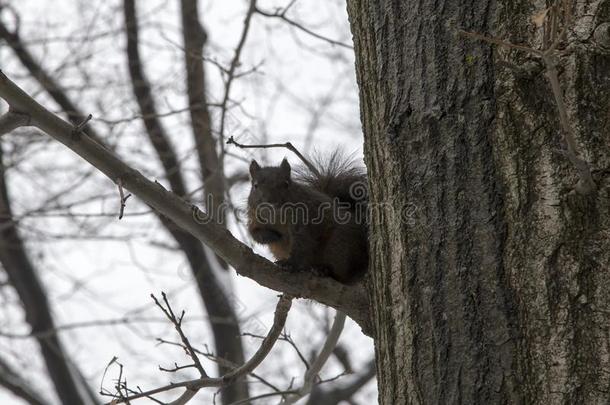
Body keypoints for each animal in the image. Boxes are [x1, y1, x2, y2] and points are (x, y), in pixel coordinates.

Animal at [246, 152, 366, 284]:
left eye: (286, 184)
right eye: (255, 186)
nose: (271, 202)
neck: (275, 216)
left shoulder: (303, 221)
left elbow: (302, 243)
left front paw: (289, 264)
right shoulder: (254, 219)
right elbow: (254, 233)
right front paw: (271, 236)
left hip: (339, 245)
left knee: (341, 273)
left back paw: (324, 270)